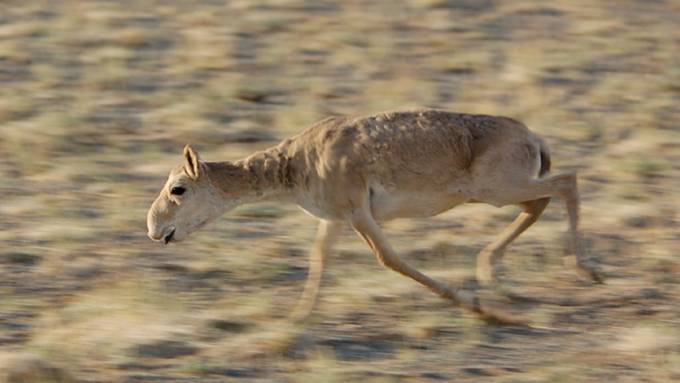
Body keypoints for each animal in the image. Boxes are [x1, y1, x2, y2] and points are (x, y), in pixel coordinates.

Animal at [146, 109, 604, 322]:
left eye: (178, 188)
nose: (153, 229)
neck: (296, 162)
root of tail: (532, 136)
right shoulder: (332, 220)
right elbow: (319, 260)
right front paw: (298, 317)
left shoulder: (357, 214)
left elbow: (390, 259)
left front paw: (477, 306)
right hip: (499, 192)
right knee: (541, 202)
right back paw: (492, 270)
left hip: (497, 189)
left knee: (567, 183)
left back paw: (584, 270)